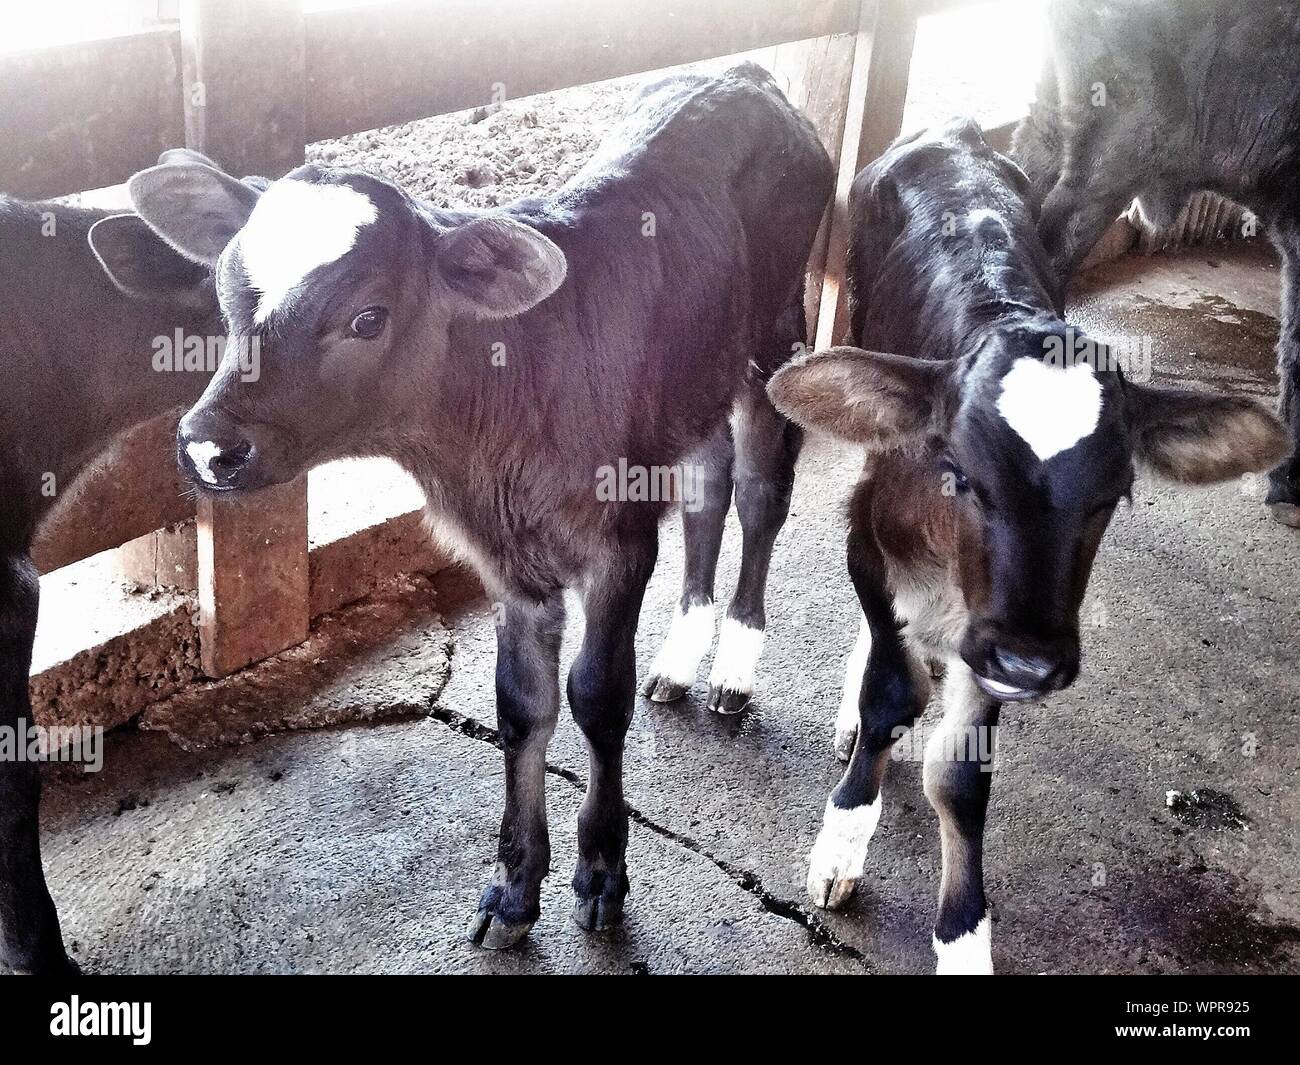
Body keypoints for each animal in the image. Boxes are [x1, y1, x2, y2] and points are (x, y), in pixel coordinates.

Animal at [121, 64, 833, 949]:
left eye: (368, 316)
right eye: (226, 295)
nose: (209, 446)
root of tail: (742, 71)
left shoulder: (620, 542)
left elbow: (596, 694)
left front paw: (603, 872)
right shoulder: (508, 563)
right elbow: (521, 707)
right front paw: (513, 888)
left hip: (775, 330)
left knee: (763, 492)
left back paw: (733, 660)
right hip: (695, 375)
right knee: (709, 484)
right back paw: (681, 655)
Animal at [768, 118, 1286, 974]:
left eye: (1113, 496)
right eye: (959, 474)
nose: (1030, 662)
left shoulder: (999, 636)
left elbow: (960, 775)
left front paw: (964, 934)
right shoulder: (870, 541)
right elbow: (890, 691)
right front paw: (843, 836)